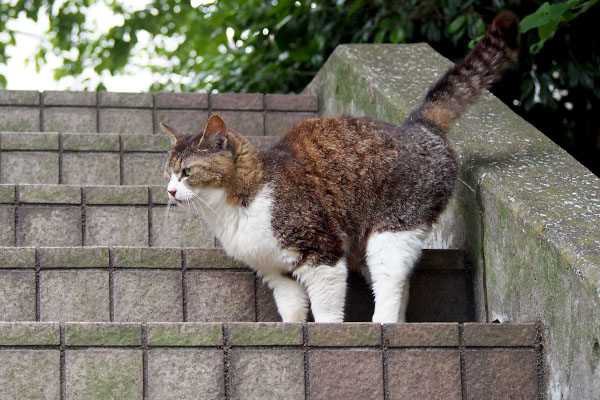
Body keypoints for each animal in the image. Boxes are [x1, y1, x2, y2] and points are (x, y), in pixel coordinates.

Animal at [162, 11, 516, 324]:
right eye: (168, 172)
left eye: (187, 172)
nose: (170, 190)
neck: (231, 210)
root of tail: (417, 125)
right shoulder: (274, 270)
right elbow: (291, 305)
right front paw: (293, 328)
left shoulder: (322, 251)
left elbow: (327, 307)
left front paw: (327, 331)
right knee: (401, 287)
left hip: (394, 229)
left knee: (391, 284)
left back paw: (383, 324)